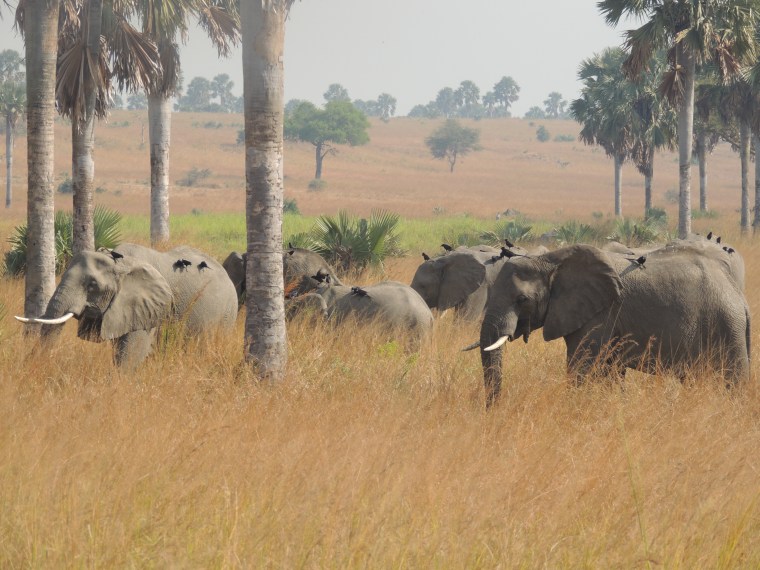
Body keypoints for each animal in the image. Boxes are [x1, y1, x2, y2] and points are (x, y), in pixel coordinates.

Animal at [16, 243, 238, 367]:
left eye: (92, 285)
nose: (31, 366)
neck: (119, 261)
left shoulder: (148, 307)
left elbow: (131, 355)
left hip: (226, 314)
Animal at [472, 242, 750, 407]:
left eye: (522, 300)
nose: (493, 412)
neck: (551, 260)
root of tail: (740, 297)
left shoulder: (600, 313)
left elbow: (582, 364)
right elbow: (608, 370)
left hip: (727, 325)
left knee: (734, 380)